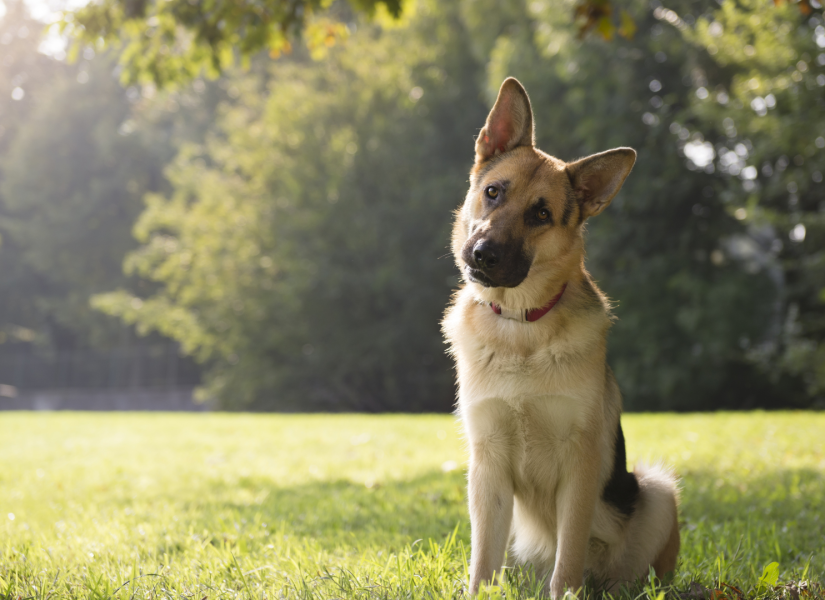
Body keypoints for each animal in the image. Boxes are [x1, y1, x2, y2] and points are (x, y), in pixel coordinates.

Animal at [440, 78, 680, 596]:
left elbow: (568, 556)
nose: (483, 254)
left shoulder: (580, 465)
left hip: (656, 490)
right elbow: (482, 561)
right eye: (493, 192)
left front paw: (565, 592)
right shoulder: (487, 466)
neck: (521, 325)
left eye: (541, 214)